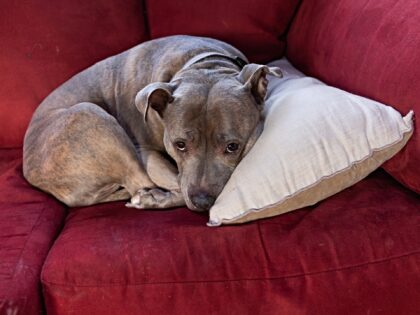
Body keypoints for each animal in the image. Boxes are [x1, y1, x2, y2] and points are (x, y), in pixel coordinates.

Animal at [22, 35, 282, 212]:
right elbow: (176, 182)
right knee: (140, 182)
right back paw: (149, 199)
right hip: (93, 117)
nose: (201, 202)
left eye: (232, 147)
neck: (204, 64)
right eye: (180, 144)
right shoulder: (146, 152)